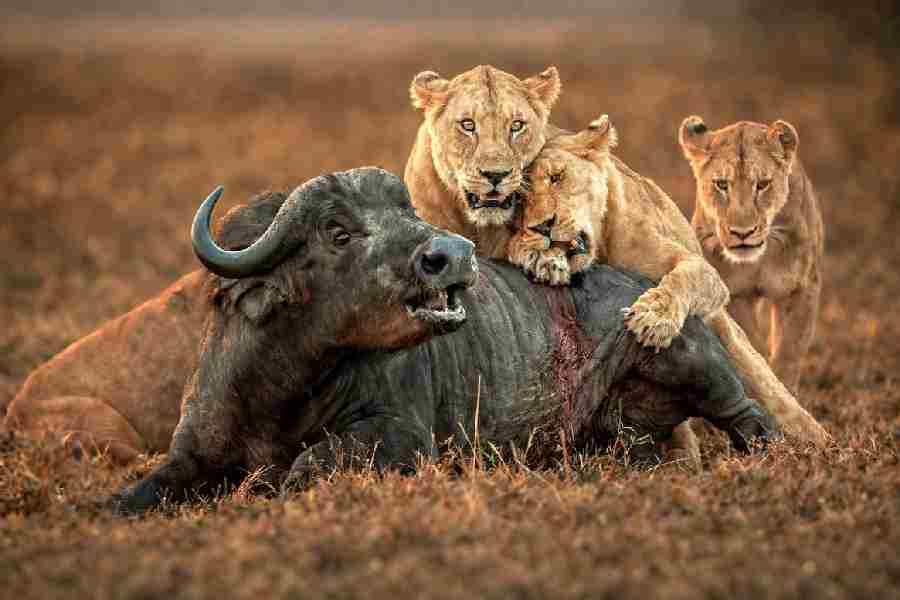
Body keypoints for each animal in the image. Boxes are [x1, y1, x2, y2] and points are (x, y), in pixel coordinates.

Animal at [110, 167, 774, 514]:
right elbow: (139, 492)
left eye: (407, 213)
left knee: (750, 415)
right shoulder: (194, 448)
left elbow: (303, 467)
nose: (452, 255)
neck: (282, 390)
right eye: (337, 233)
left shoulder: (402, 437)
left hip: (698, 366)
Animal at [679, 116, 824, 394]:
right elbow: (749, 344)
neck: (760, 259)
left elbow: (788, 352)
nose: (742, 232)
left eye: (763, 184)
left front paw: (784, 391)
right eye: (722, 185)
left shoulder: (802, 288)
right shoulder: (735, 293)